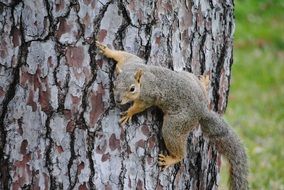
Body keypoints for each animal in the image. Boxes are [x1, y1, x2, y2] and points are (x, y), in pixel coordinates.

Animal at [96, 42, 248, 190]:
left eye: (132, 89)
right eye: (114, 84)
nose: (118, 100)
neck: (139, 77)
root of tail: (202, 110)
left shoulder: (148, 96)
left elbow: (140, 106)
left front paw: (129, 112)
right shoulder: (131, 62)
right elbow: (123, 55)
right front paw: (108, 51)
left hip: (176, 124)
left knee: (177, 146)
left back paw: (173, 159)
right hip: (188, 77)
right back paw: (204, 83)